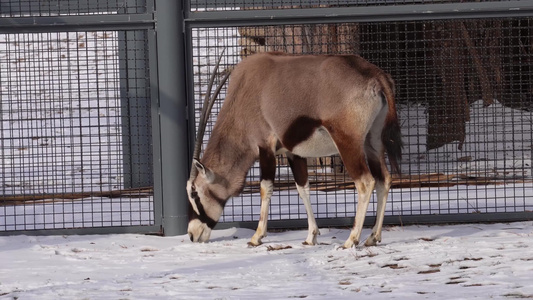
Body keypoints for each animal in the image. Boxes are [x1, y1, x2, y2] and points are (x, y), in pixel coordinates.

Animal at [187, 51, 400, 248]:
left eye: (194, 193)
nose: (192, 235)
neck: (244, 93)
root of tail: (375, 75)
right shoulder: (293, 153)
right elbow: (302, 188)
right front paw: (311, 236)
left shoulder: (265, 147)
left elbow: (265, 188)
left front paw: (257, 237)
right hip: (372, 142)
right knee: (384, 179)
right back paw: (373, 237)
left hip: (348, 143)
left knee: (365, 182)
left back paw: (351, 240)